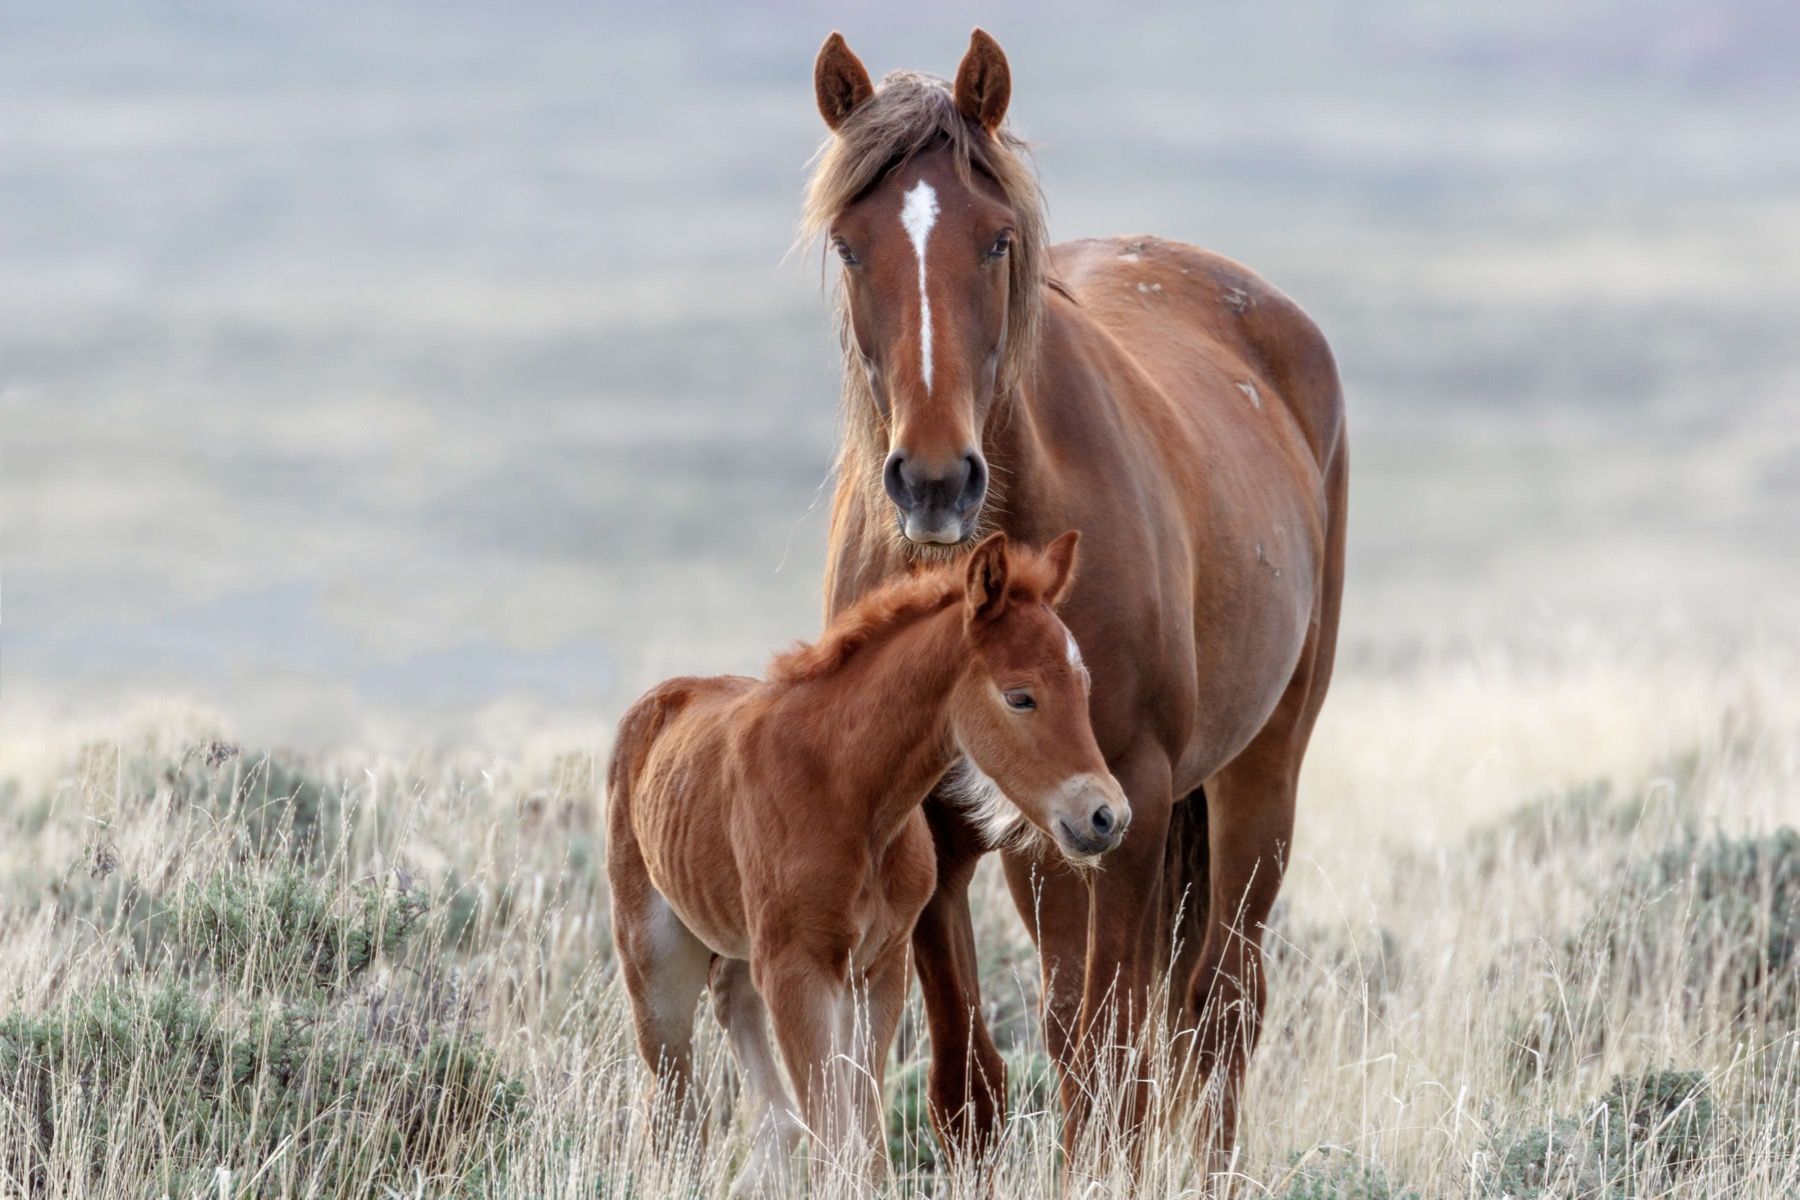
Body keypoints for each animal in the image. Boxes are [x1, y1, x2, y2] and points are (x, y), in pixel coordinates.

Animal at [605, 531, 1128, 1193]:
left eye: (1083, 688)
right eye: (1021, 697)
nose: (1106, 817)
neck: (850, 794)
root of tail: (657, 701)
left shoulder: (879, 969)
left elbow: (867, 1142)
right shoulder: (798, 970)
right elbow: (835, 1137)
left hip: (741, 942)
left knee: (731, 1005)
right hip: (654, 959)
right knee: (672, 1095)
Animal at [803, 29, 1348, 1175]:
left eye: (998, 241)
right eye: (849, 244)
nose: (933, 482)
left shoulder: (1129, 799)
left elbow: (1112, 1064)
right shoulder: (939, 819)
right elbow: (972, 1083)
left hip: (1253, 782)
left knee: (1216, 1010)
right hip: (1052, 844)